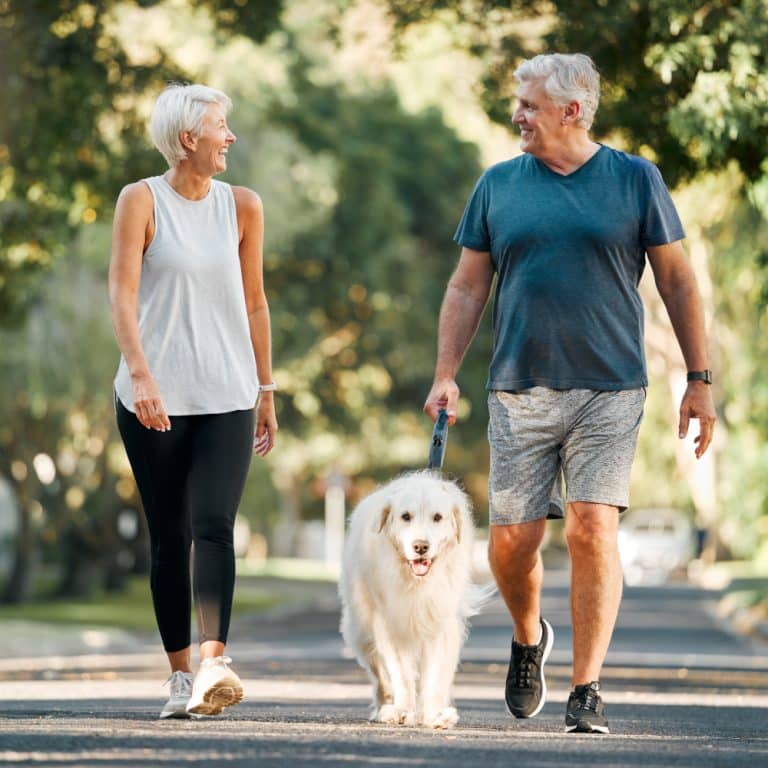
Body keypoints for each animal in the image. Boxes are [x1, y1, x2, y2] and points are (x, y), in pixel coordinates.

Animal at [340, 472, 488, 728]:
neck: (416, 583)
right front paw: (401, 711)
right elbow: (400, 674)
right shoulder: (390, 625)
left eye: (437, 517)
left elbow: (434, 676)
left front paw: (433, 715)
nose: (420, 546)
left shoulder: (440, 625)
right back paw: (385, 708)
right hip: (362, 630)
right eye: (405, 517)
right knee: (380, 675)